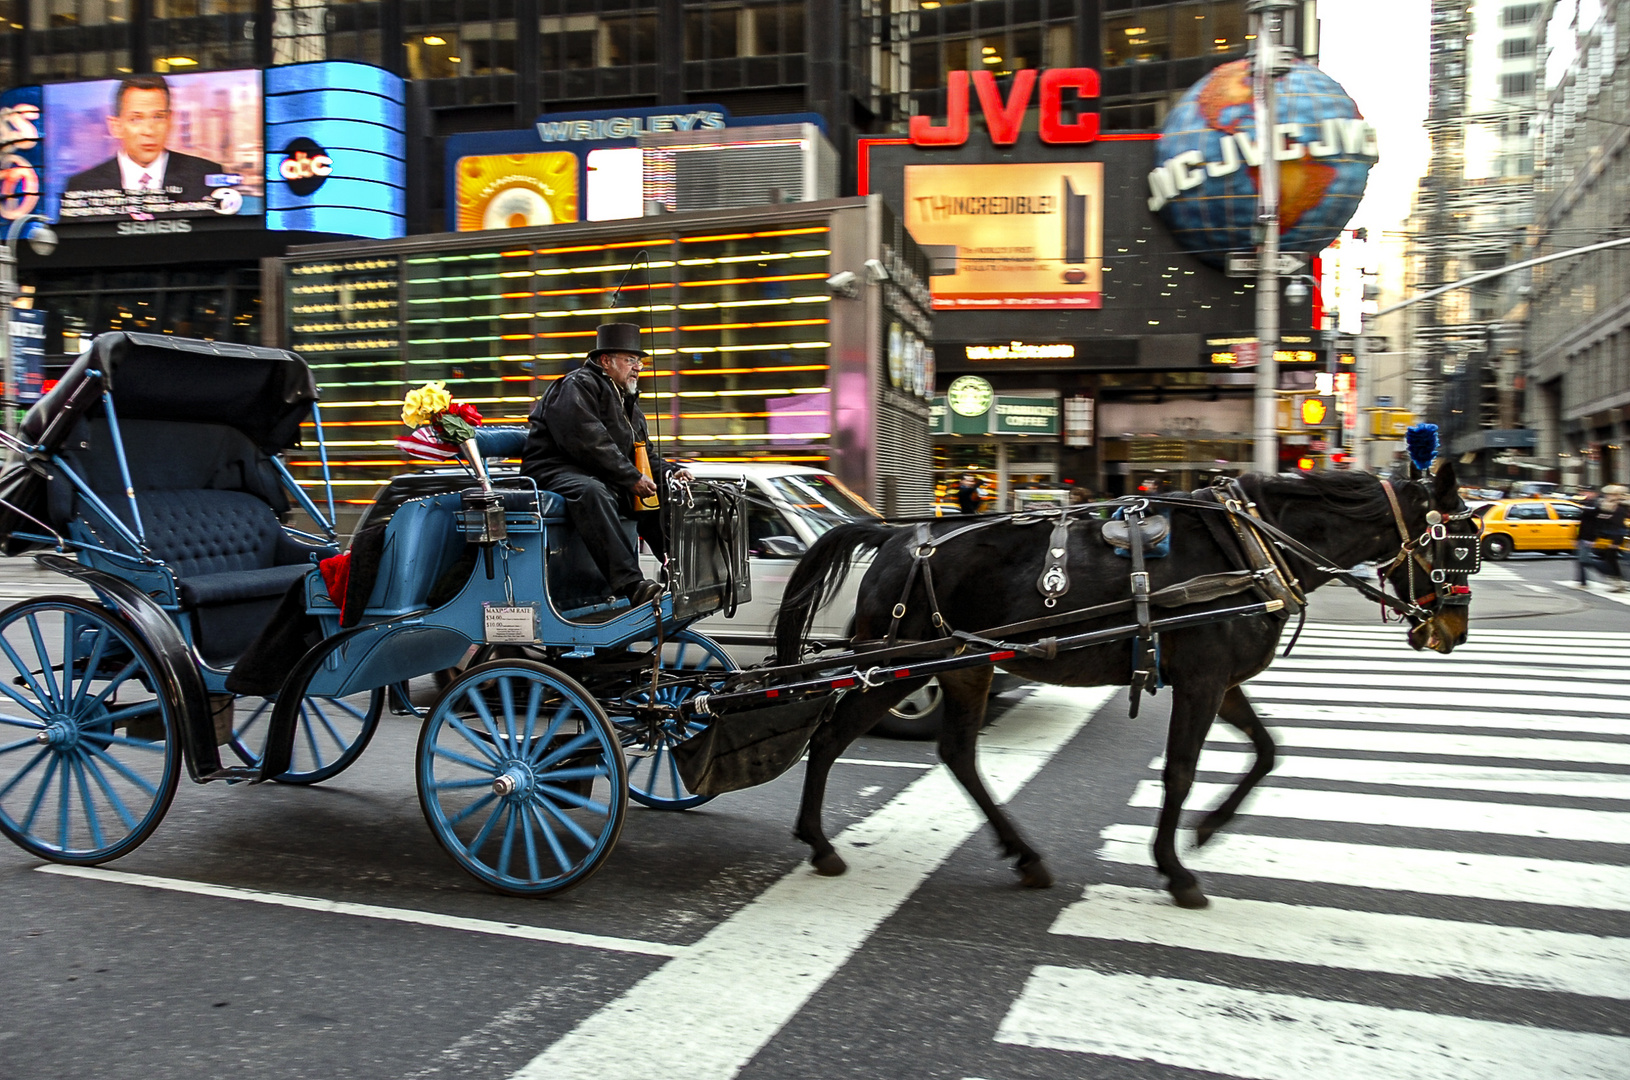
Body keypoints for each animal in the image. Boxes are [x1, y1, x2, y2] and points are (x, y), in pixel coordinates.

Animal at [775, 459, 1480, 905]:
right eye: (1459, 544)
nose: (1452, 630)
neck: (1253, 546)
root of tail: (894, 533)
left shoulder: (1220, 680)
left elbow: (1267, 752)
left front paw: (1207, 831)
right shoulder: (1201, 682)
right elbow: (1180, 772)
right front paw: (1175, 870)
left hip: (966, 667)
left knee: (956, 754)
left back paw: (1025, 857)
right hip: (896, 669)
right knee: (831, 736)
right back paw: (818, 842)